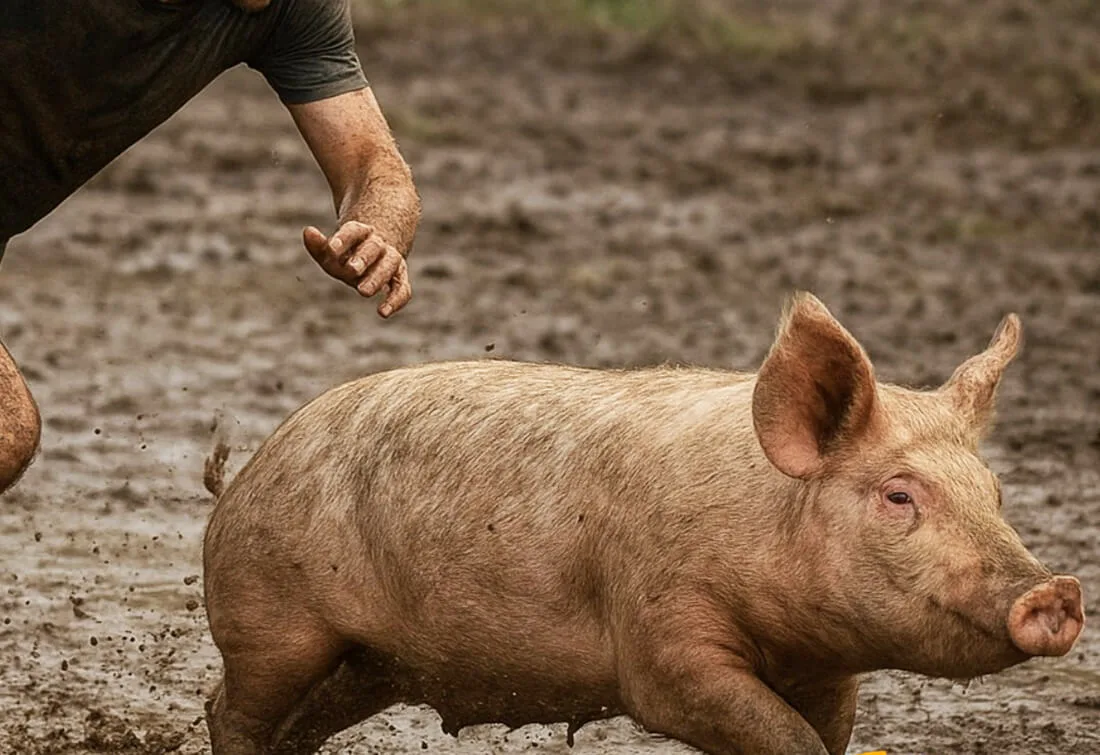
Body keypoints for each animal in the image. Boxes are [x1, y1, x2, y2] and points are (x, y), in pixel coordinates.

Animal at [202, 292, 1085, 755]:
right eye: (900, 495)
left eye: (995, 490)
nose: (1058, 592)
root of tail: (245, 472)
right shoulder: (663, 640)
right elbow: (766, 730)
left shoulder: (830, 670)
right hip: (270, 617)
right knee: (231, 710)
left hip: (374, 663)